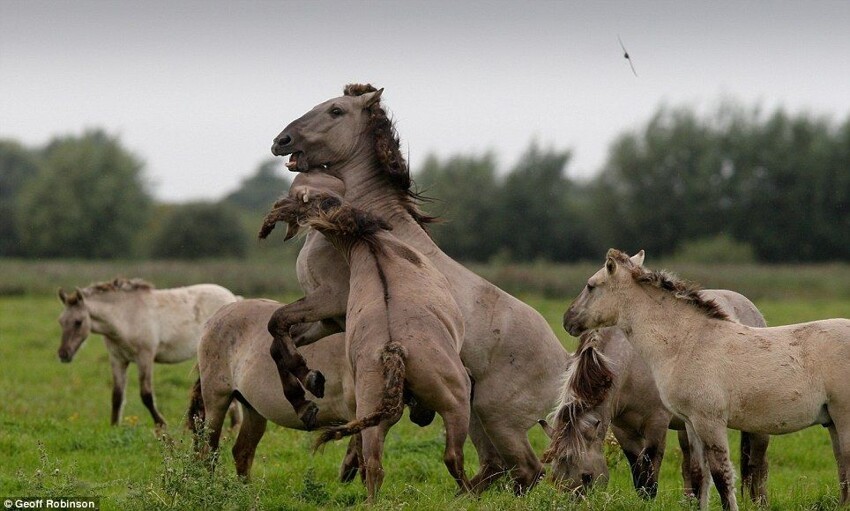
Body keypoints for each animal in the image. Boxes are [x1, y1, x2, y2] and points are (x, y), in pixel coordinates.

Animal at [56, 278, 237, 426]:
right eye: (61, 321)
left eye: (78, 322)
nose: (63, 354)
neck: (126, 316)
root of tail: (233, 298)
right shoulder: (117, 359)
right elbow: (117, 395)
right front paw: (114, 426)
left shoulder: (145, 357)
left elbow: (146, 395)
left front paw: (161, 423)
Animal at [564, 250, 848, 510]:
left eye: (591, 285)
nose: (567, 320)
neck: (686, 342)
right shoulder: (691, 423)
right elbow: (699, 475)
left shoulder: (709, 421)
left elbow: (721, 476)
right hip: (832, 422)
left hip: (842, 419)